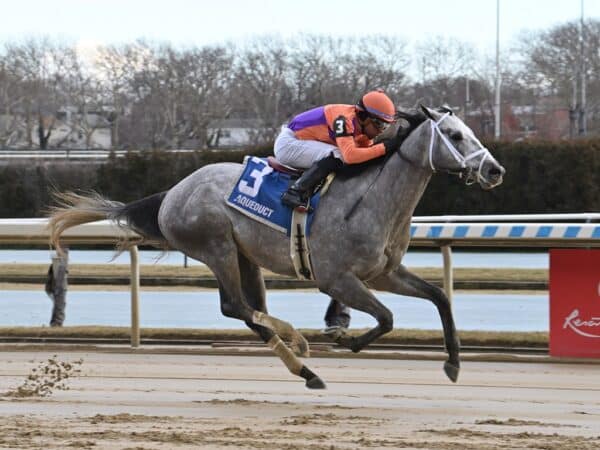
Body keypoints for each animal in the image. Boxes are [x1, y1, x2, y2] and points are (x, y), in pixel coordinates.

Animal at [49, 106, 504, 390]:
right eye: (454, 135)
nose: (495, 170)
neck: (372, 199)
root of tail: (172, 193)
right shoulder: (337, 280)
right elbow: (388, 317)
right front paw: (348, 341)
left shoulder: (383, 273)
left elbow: (439, 297)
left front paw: (453, 363)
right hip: (216, 247)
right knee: (234, 306)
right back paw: (298, 343)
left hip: (245, 256)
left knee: (249, 312)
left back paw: (305, 369)